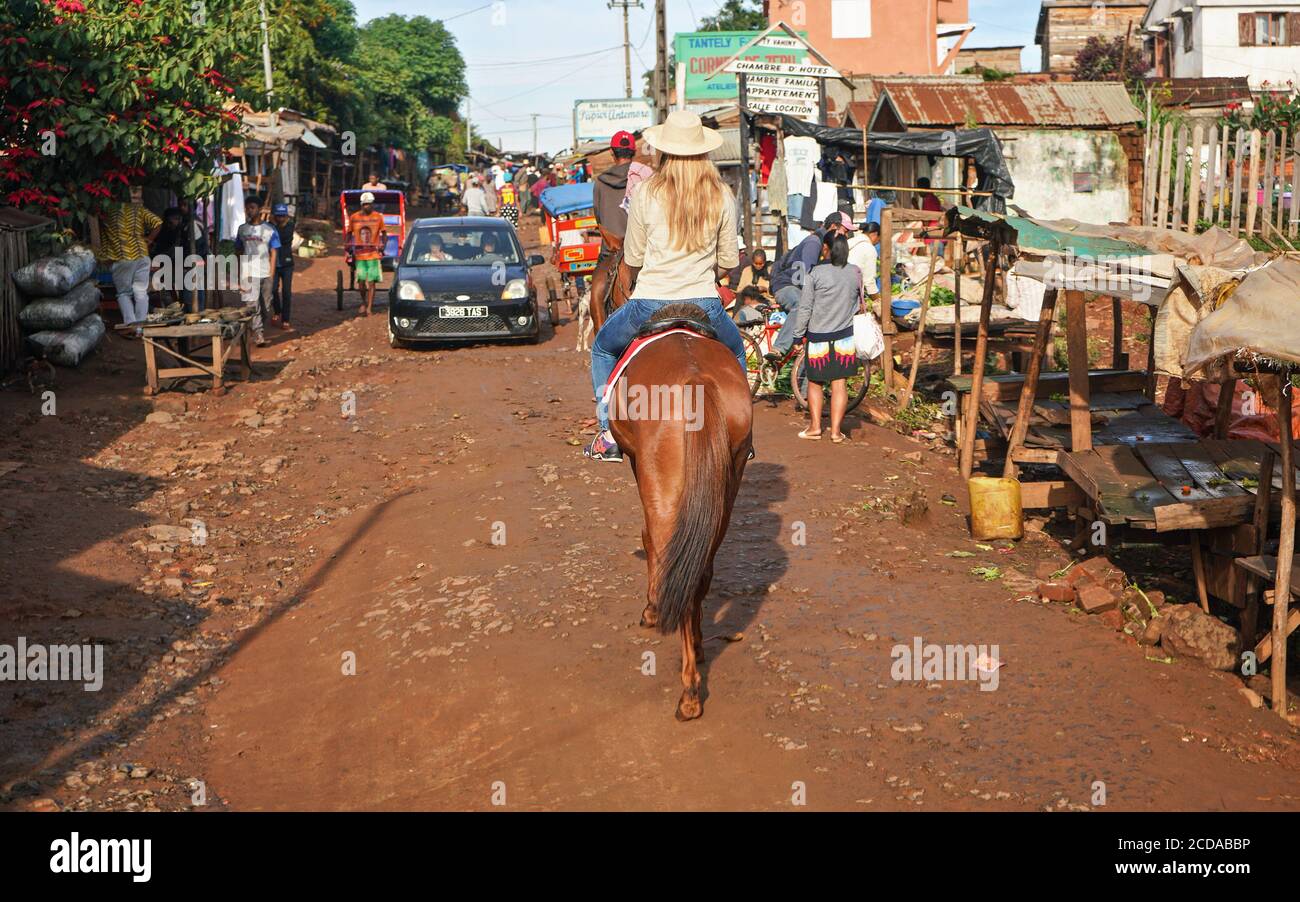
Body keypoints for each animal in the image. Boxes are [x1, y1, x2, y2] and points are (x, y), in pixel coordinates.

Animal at [608, 304, 754, 722]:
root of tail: (695, 379)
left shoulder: (637, 462)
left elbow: (648, 540)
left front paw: (651, 608)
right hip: (727, 482)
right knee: (699, 568)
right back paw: (700, 650)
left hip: (664, 483)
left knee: (670, 556)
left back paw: (689, 692)